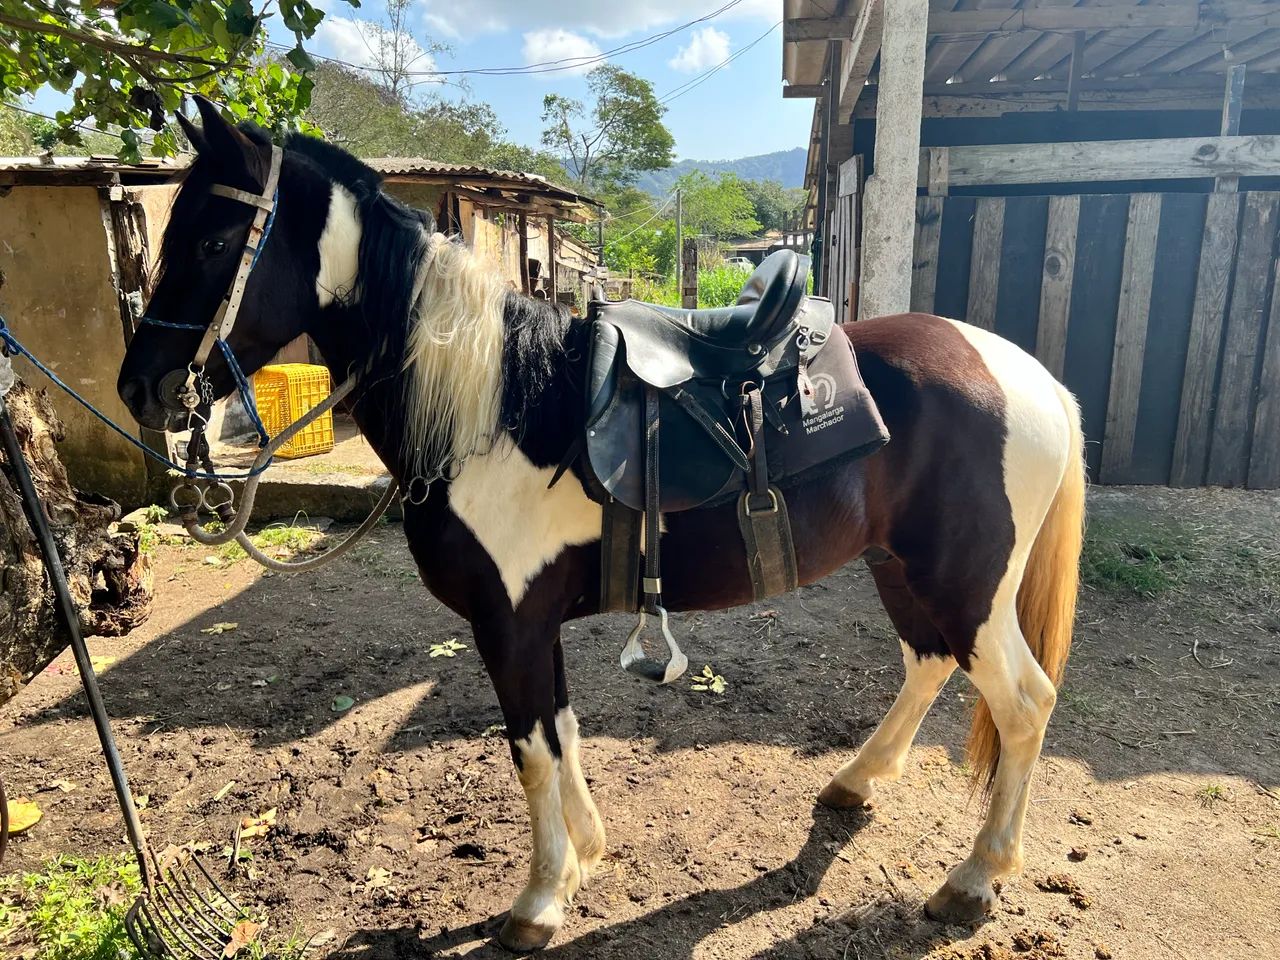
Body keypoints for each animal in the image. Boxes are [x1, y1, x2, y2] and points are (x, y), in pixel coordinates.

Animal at [117, 98, 1085, 952]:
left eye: (212, 240)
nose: (140, 388)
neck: (496, 407)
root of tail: (1031, 375)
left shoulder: (507, 624)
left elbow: (530, 752)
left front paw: (540, 899)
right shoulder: (531, 621)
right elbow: (561, 732)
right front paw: (584, 854)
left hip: (966, 585)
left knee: (1024, 704)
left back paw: (974, 880)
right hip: (903, 567)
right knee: (928, 665)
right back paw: (856, 783)